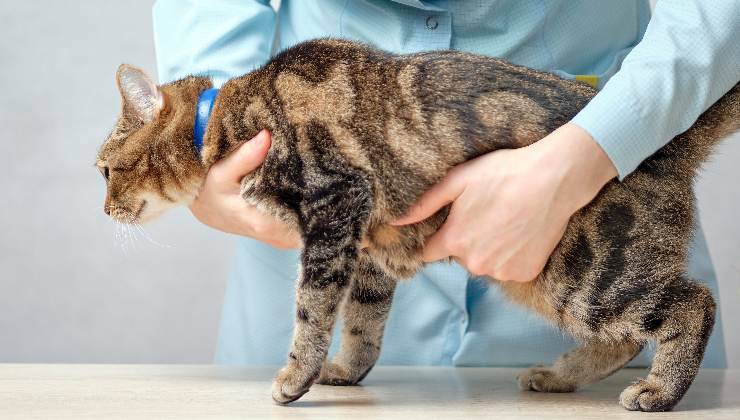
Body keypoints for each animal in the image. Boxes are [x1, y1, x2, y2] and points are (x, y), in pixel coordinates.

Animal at [95, 38, 736, 410]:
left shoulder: (335, 206)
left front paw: (295, 377)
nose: (103, 210)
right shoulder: (370, 248)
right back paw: (560, 377)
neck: (230, 114)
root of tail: (671, 146)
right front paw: (345, 372)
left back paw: (659, 389)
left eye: (104, 171)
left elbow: (311, 313)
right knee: (624, 337)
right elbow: (363, 326)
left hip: (586, 273)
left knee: (691, 304)